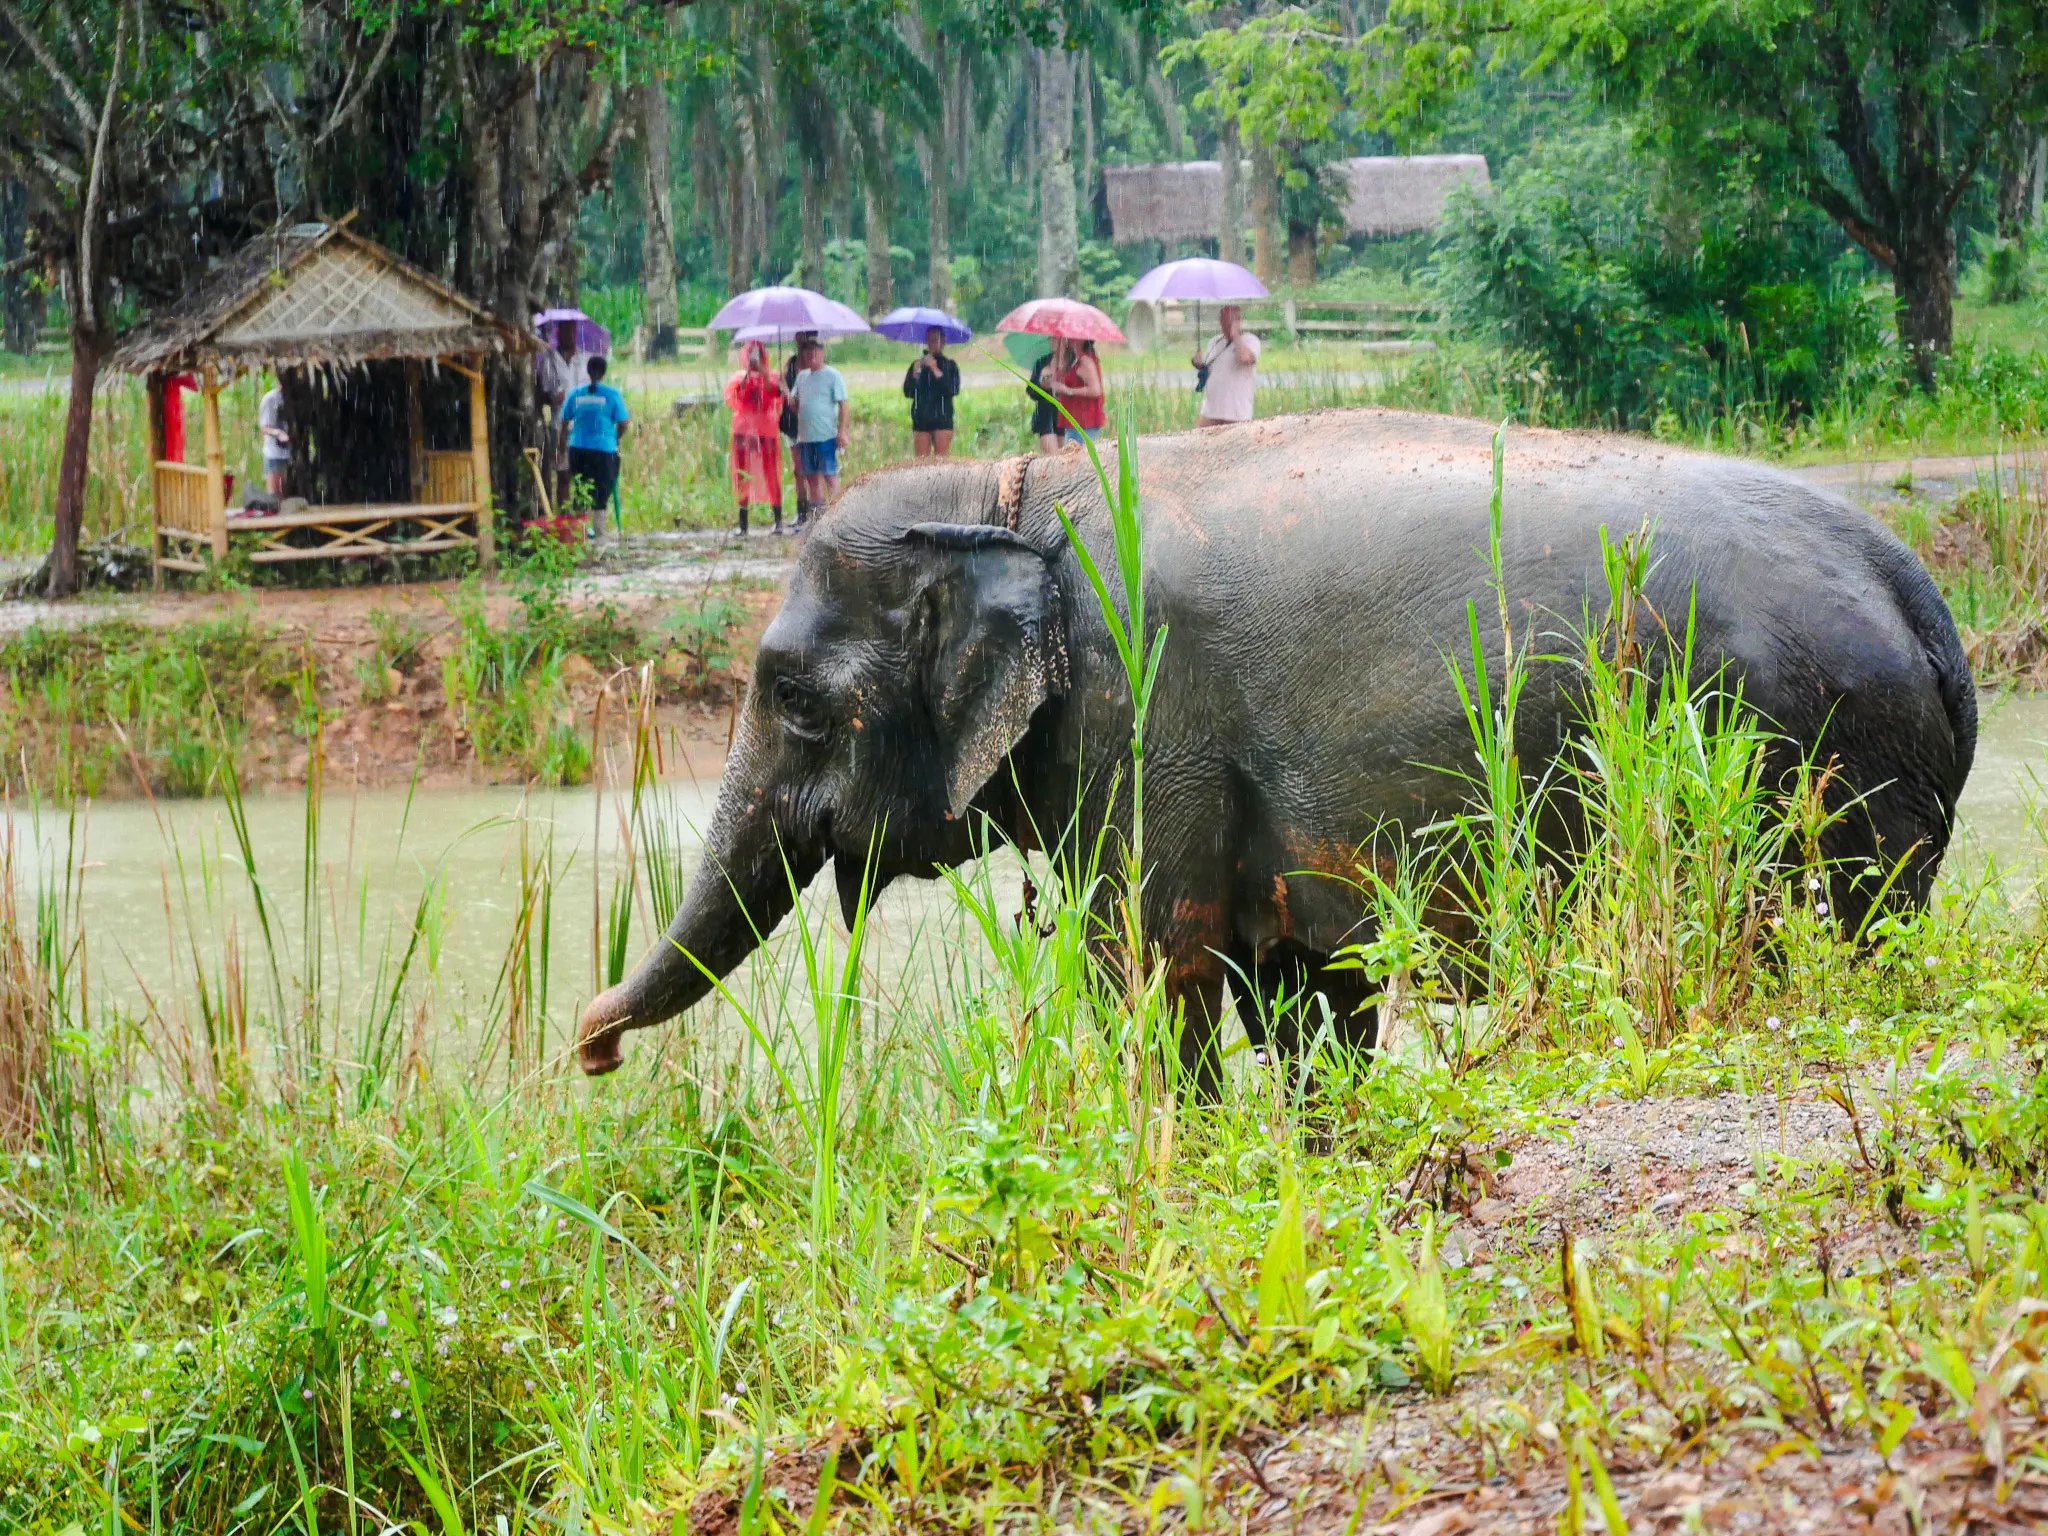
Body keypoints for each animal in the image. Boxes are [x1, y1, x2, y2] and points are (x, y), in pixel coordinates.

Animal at [577, 409, 1976, 1089]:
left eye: (794, 699)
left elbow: (1150, 970)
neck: (1001, 489)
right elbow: (1297, 989)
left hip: (1824, 760)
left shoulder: (1141, 717)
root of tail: (1915, 587)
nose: (587, 1049)